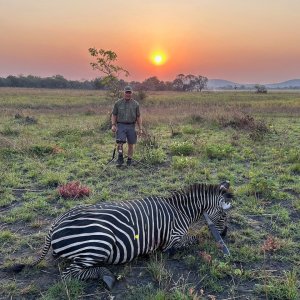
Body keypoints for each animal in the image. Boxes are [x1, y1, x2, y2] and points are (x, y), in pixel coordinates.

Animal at [10, 182, 232, 290]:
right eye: (224, 214)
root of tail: (56, 222)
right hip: (99, 242)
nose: (225, 234)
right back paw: (106, 276)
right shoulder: (173, 239)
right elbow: (193, 240)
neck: (181, 211)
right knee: (69, 275)